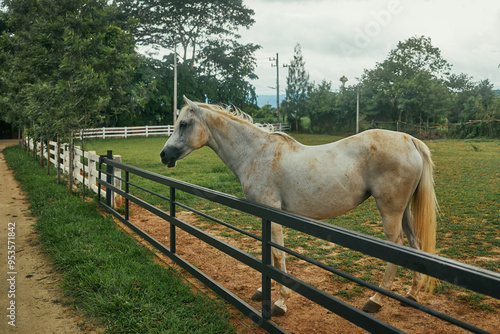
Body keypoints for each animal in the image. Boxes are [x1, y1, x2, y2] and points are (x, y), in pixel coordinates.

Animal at [160, 96, 438, 316]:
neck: (256, 153)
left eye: (183, 124)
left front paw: (280, 303)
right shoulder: (266, 216)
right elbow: (270, 254)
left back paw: (376, 300)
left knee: (397, 248)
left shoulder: (272, 212)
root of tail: (410, 139)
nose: (164, 155)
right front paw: (264, 290)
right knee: (415, 245)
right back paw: (412, 295)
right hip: (404, 212)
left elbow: (278, 255)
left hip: (391, 212)